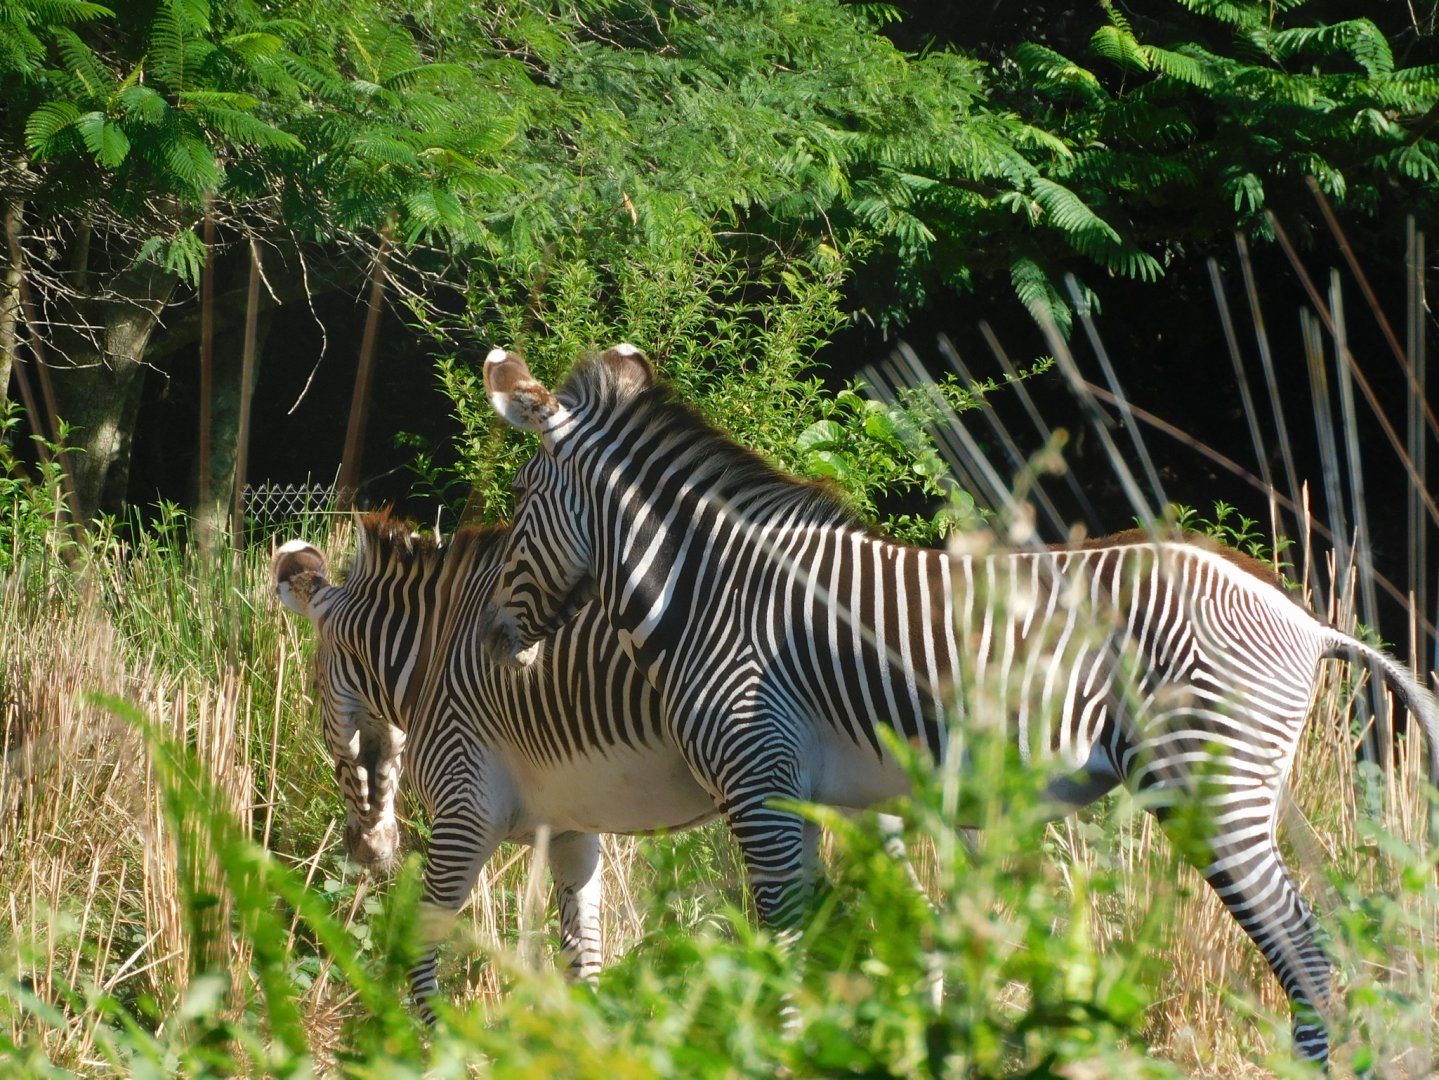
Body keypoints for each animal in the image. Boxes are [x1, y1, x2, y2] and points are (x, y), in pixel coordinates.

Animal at [271, 511, 719, 1019]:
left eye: (311, 683)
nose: (362, 850)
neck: (432, 655)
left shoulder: (466, 808)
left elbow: (418, 953)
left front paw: (433, 1037)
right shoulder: (570, 830)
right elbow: (583, 962)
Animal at [476, 343, 1439, 1067]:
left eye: (520, 501)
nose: (491, 638)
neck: (710, 590)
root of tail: (1303, 619)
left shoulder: (758, 783)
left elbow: (780, 950)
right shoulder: (818, 799)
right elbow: (830, 945)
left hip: (1208, 788)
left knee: (1307, 958)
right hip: (1250, 787)